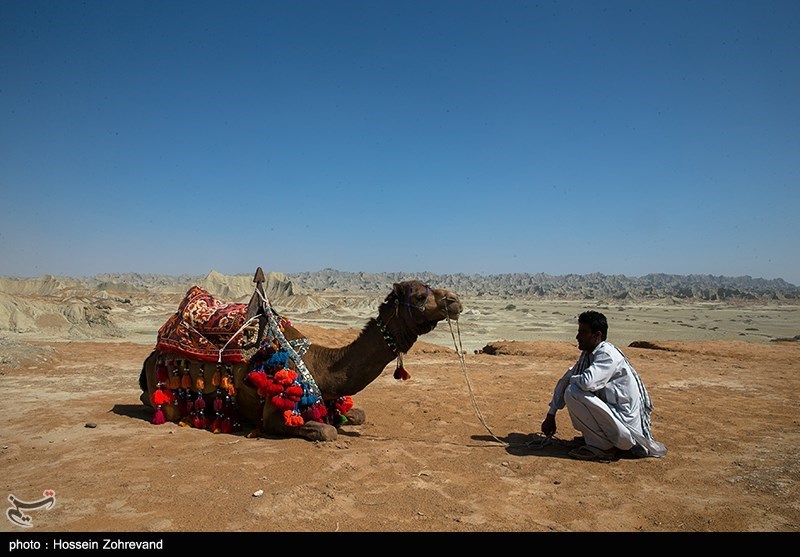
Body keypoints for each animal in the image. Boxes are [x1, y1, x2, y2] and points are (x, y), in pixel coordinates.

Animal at [140, 272, 460, 440]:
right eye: (419, 296)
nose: (454, 300)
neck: (320, 365)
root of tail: (150, 356)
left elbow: (358, 414)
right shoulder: (275, 413)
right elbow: (327, 431)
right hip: (167, 394)